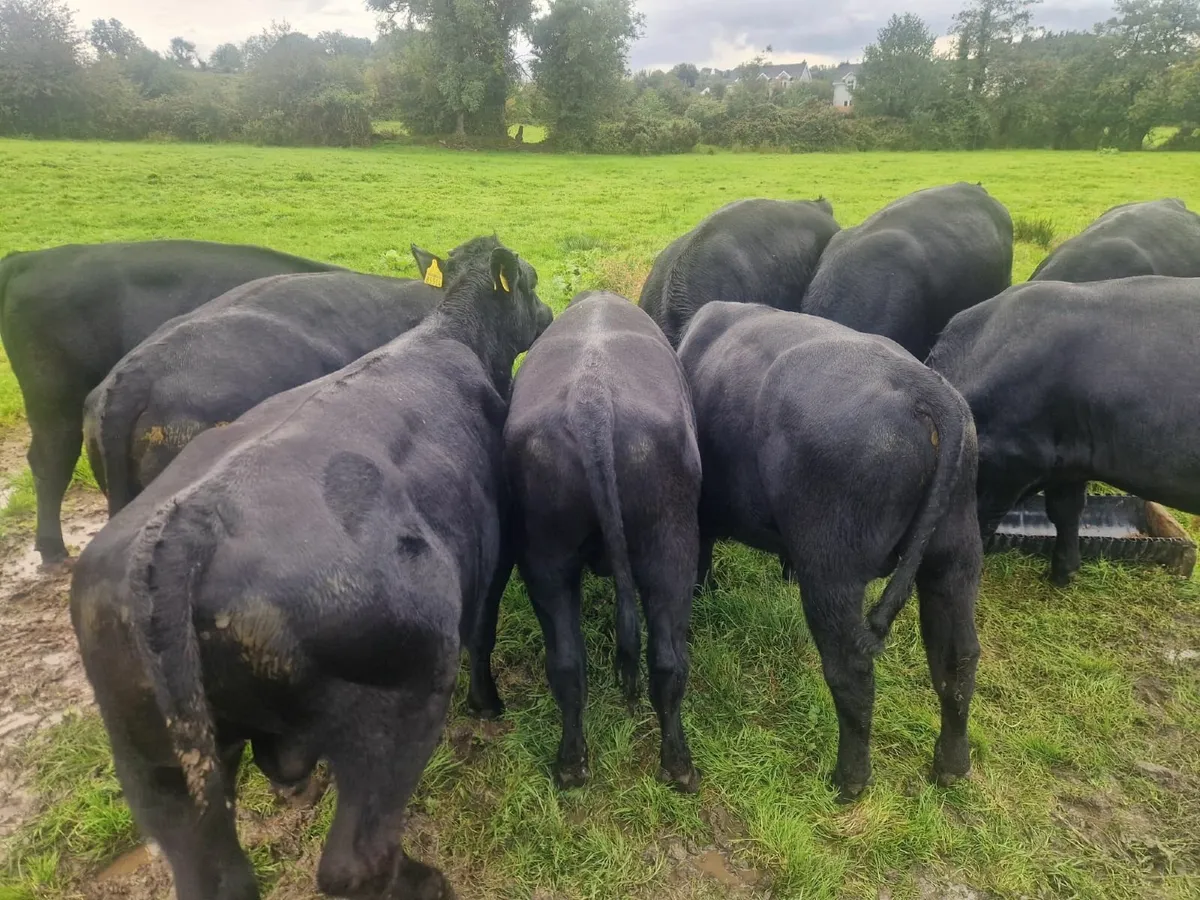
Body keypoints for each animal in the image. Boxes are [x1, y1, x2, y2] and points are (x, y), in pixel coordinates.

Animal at [501, 290, 700, 792]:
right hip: (672, 547)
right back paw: (680, 767)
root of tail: (592, 404)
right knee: (669, 661)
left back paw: (572, 765)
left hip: (545, 555)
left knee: (568, 663)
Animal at [678, 302, 981, 800]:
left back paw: (849, 779)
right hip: (953, 561)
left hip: (831, 573)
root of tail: (923, 388)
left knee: (851, 672)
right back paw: (951, 764)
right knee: (957, 660)